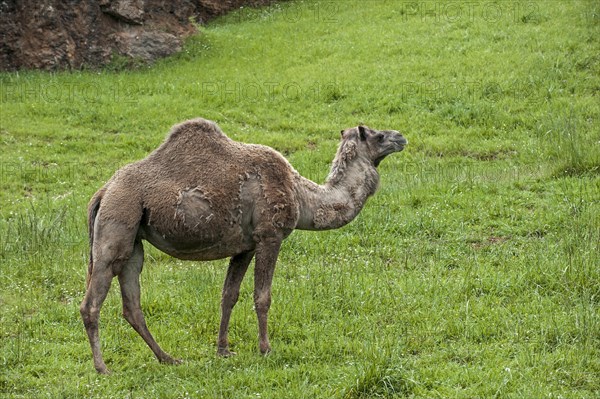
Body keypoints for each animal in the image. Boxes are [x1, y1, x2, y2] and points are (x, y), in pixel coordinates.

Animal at [81, 117, 408, 374]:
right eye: (377, 135)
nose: (401, 136)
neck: (302, 195)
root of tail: (103, 192)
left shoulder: (244, 246)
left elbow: (229, 295)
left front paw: (223, 350)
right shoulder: (269, 236)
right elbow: (262, 296)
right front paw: (265, 348)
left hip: (133, 238)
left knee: (132, 303)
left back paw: (168, 358)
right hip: (118, 221)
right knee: (92, 302)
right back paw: (102, 368)